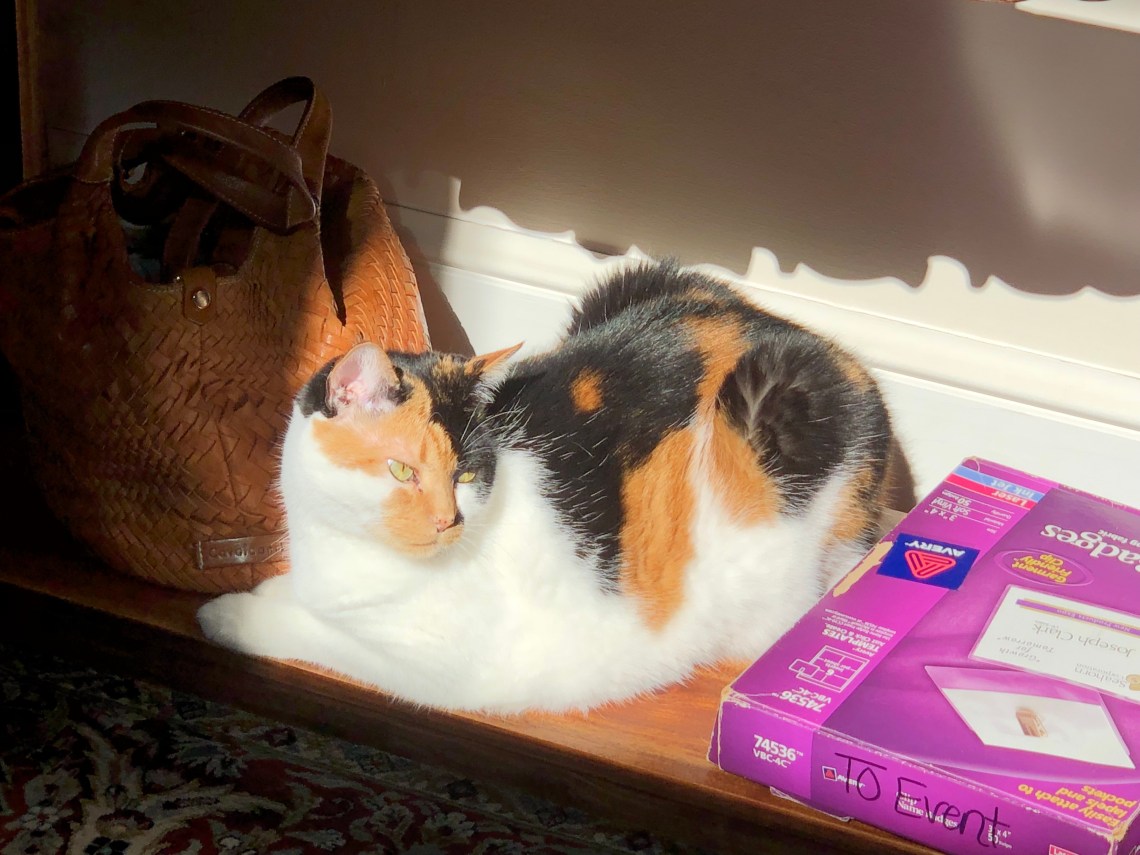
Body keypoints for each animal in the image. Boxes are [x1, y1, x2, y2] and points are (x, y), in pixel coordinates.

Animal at [197, 260, 897, 714]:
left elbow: (310, 632)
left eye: (466, 475)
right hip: (632, 281)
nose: (448, 521)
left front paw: (226, 613)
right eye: (402, 470)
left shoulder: (444, 668)